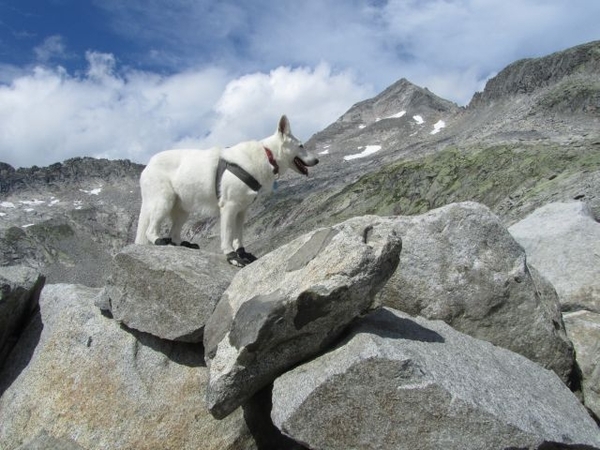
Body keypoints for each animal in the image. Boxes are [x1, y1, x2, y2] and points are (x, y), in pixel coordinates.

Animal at [135, 114, 318, 268]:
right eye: (301, 146)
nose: (317, 160)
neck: (267, 155)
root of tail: (149, 164)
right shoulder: (229, 208)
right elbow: (228, 236)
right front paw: (232, 257)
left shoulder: (241, 211)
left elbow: (239, 237)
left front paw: (242, 253)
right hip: (163, 202)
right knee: (150, 230)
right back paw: (160, 240)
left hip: (182, 211)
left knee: (174, 233)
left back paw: (183, 243)